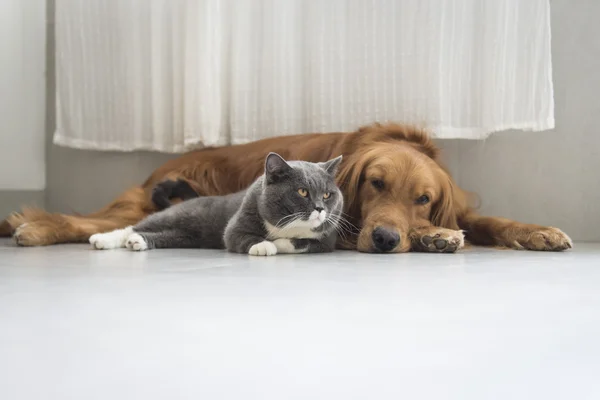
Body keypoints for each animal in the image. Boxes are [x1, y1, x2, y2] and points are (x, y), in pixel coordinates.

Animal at [88, 153, 342, 256]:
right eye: (303, 192)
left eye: (328, 195)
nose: (320, 208)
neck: (289, 225)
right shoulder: (235, 227)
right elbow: (239, 235)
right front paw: (264, 245)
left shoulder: (327, 241)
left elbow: (302, 243)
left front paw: (278, 242)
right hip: (182, 216)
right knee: (135, 226)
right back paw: (102, 240)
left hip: (188, 237)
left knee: (161, 236)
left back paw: (137, 242)